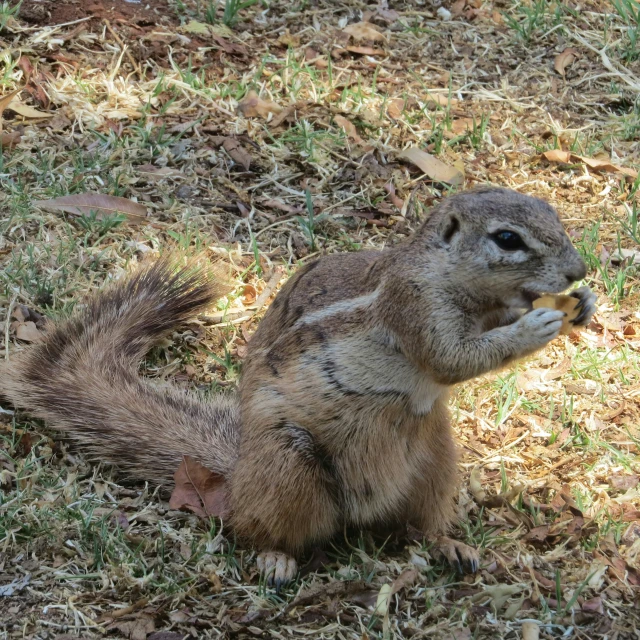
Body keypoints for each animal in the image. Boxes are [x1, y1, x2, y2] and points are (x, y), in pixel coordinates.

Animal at [0, 186, 596, 592]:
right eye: (506, 239)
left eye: (551, 213)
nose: (579, 270)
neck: (453, 279)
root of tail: (237, 473)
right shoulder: (414, 307)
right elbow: (452, 357)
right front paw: (535, 326)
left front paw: (582, 306)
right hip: (288, 466)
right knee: (255, 530)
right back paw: (275, 559)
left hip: (435, 459)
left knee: (415, 525)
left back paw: (449, 545)